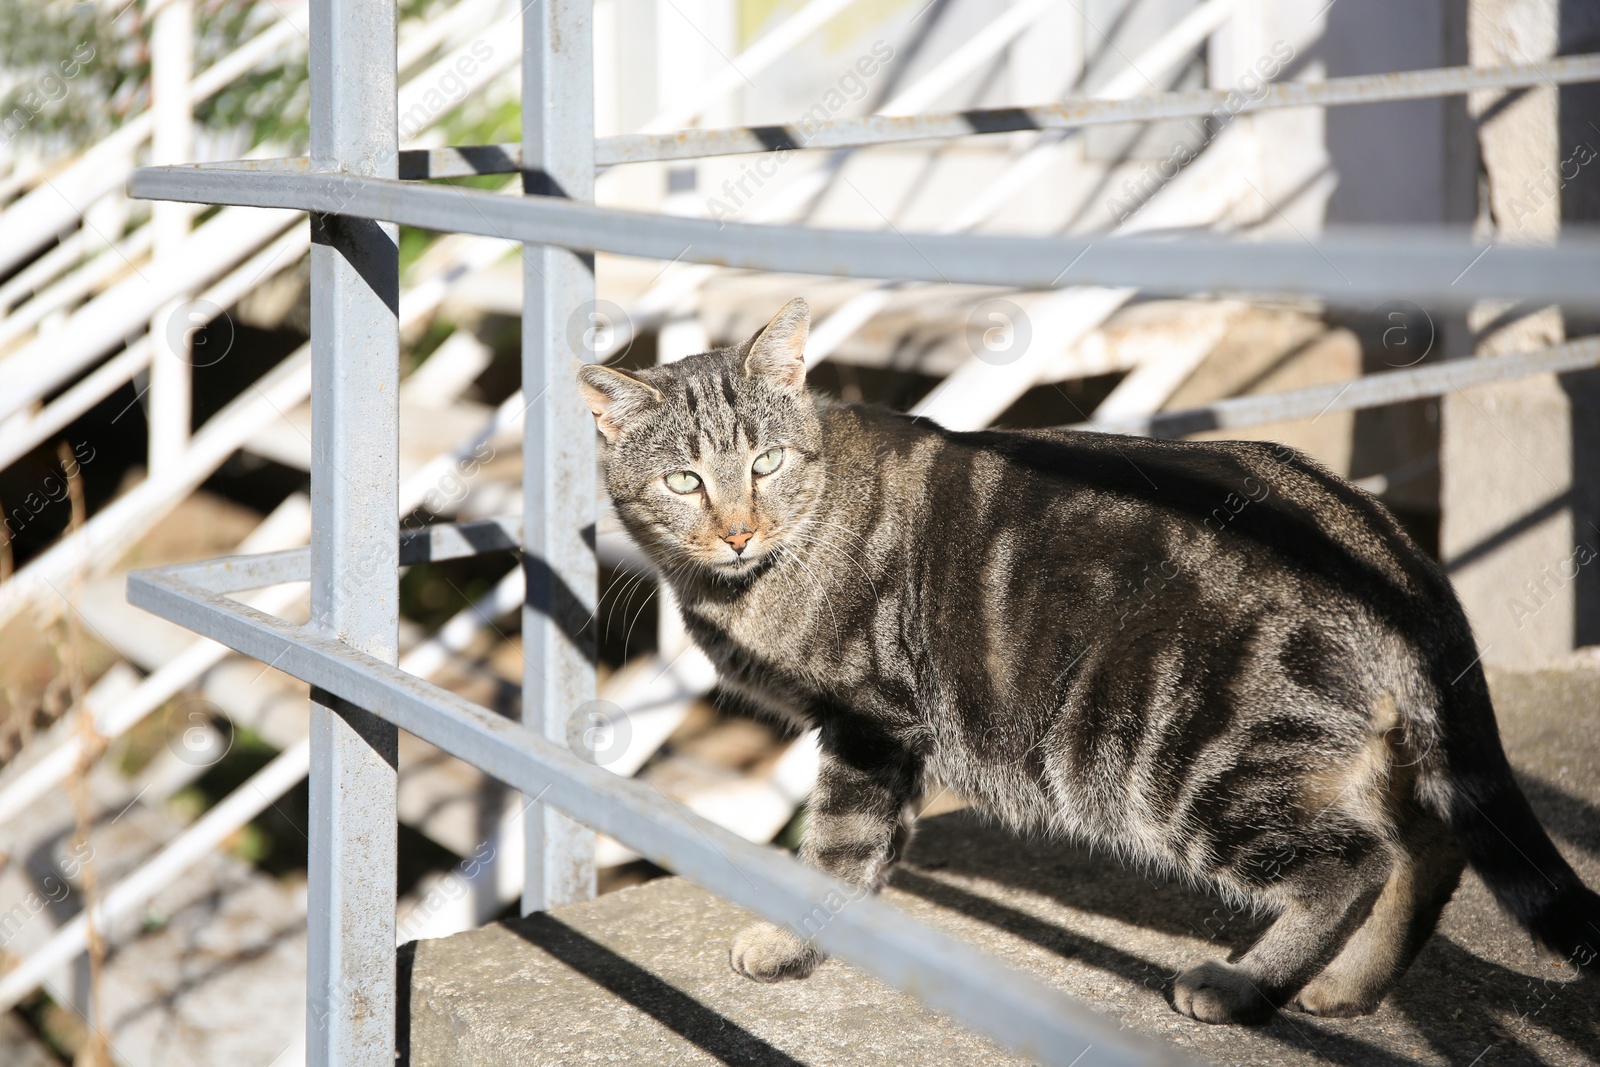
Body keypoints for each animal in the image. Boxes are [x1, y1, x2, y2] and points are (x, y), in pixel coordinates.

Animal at [579, 300, 1600, 1023]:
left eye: (767, 463)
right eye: (684, 481)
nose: (738, 529)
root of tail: (1393, 541)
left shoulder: (869, 721)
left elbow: (836, 848)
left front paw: (792, 945)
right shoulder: (894, 741)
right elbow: (874, 855)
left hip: (1203, 763)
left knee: (1356, 862)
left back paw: (1245, 986)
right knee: (1430, 844)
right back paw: (1351, 986)